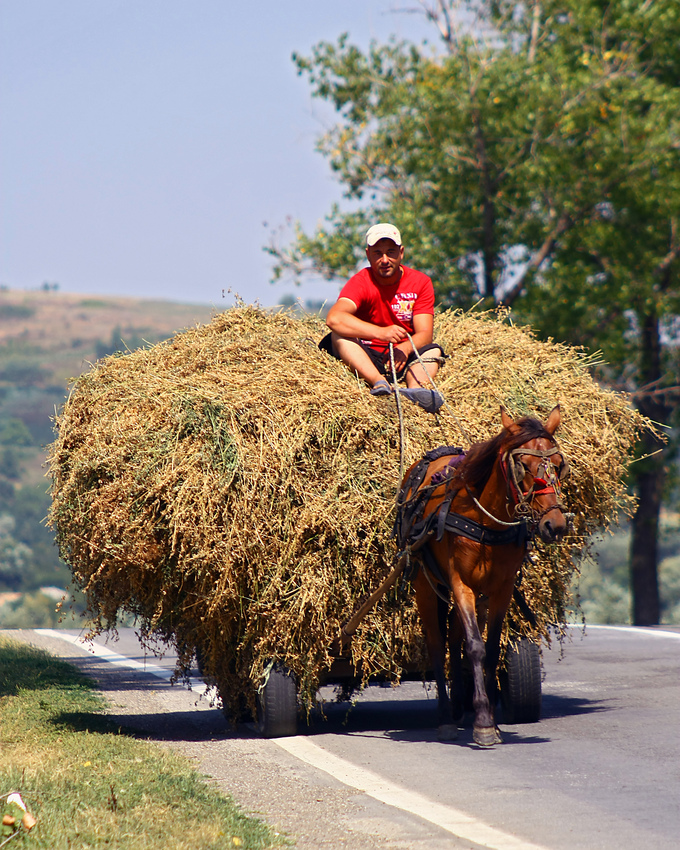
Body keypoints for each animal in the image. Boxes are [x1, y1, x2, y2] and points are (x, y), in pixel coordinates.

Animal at [394, 404, 568, 744]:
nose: (554, 525)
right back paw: (446, 717)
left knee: (453, 638)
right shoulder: (462, 584)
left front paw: (489, 719)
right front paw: (484, 723)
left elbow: (490, 649)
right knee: (437, 644)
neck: (486, 522)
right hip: (424, 583)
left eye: (558, 464)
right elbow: (474, 647)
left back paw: (460, 707)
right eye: (523, 466)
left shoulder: (501, 589)